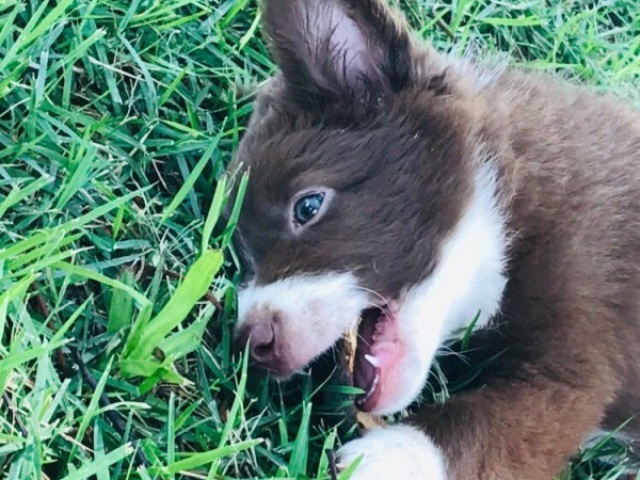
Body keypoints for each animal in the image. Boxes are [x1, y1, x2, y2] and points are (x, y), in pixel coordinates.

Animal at [229, 0, 640, 478]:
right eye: (245, 260)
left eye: (308, 207)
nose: (251, 344)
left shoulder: (588, 302)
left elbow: (524, 413)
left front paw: (391, 456)